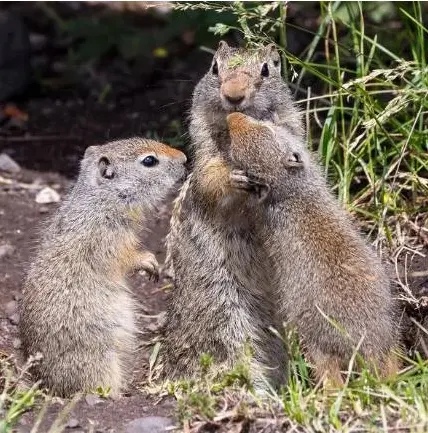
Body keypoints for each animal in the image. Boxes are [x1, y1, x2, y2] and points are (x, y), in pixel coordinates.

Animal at [20, 137, 186, 396]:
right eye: (149, 161)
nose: (185, 158)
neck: (101, 200)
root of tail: (51, 385)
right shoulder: (108, 240)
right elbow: (127, 257)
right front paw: (150, 262)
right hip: (102, 358)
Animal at [162, 41, 302, 388]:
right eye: (214, 67)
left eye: (267, 68)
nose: (234, 94)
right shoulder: (206, 162)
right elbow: (213, 181)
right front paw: (235, 178)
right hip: (225, 310)